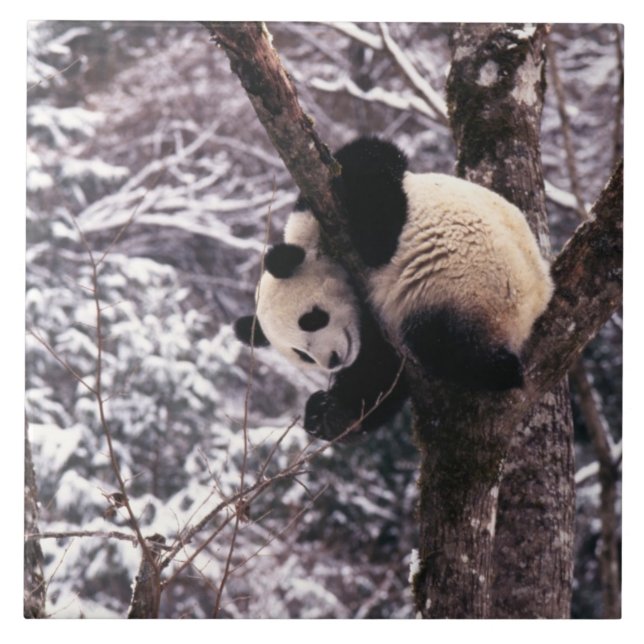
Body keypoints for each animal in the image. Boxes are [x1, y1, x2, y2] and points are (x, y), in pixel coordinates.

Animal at [234, 137, 553, 440]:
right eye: (302, 355)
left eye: (312, 319)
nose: (333, 360)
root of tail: (535, 306)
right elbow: (380, 371)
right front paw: (328, 414)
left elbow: (371, 168)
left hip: (470, 287)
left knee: (439, 342)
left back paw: (501, 370)